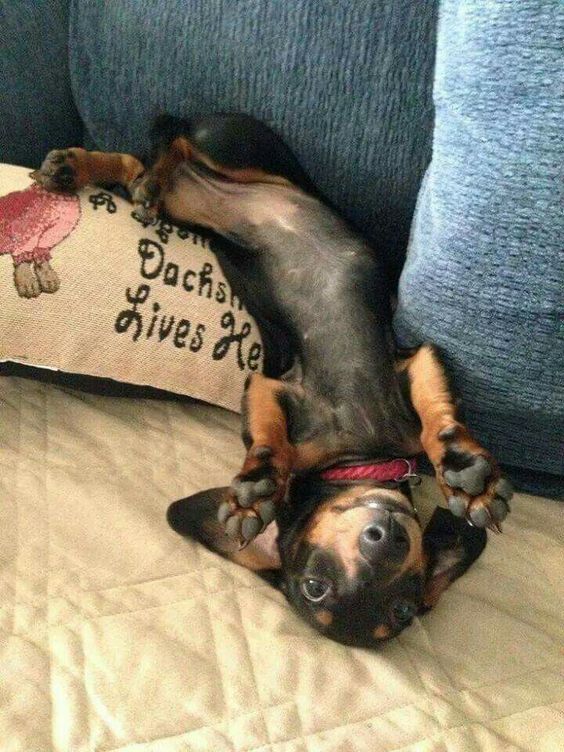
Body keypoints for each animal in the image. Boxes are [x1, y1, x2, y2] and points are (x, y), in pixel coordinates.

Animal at [33, 113, 512, 648]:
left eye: (403, 606)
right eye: (315, 586)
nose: (386, 541)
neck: (357, 453)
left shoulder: (414, 362)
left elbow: (439, 419)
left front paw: (467, 476)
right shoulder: (273, 386)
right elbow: (268, 441)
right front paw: (257, 488)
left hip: (203, 194)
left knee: (146, 157)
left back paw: (92, 172)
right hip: (237, 149)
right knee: (169, 141)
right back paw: (124, 176)